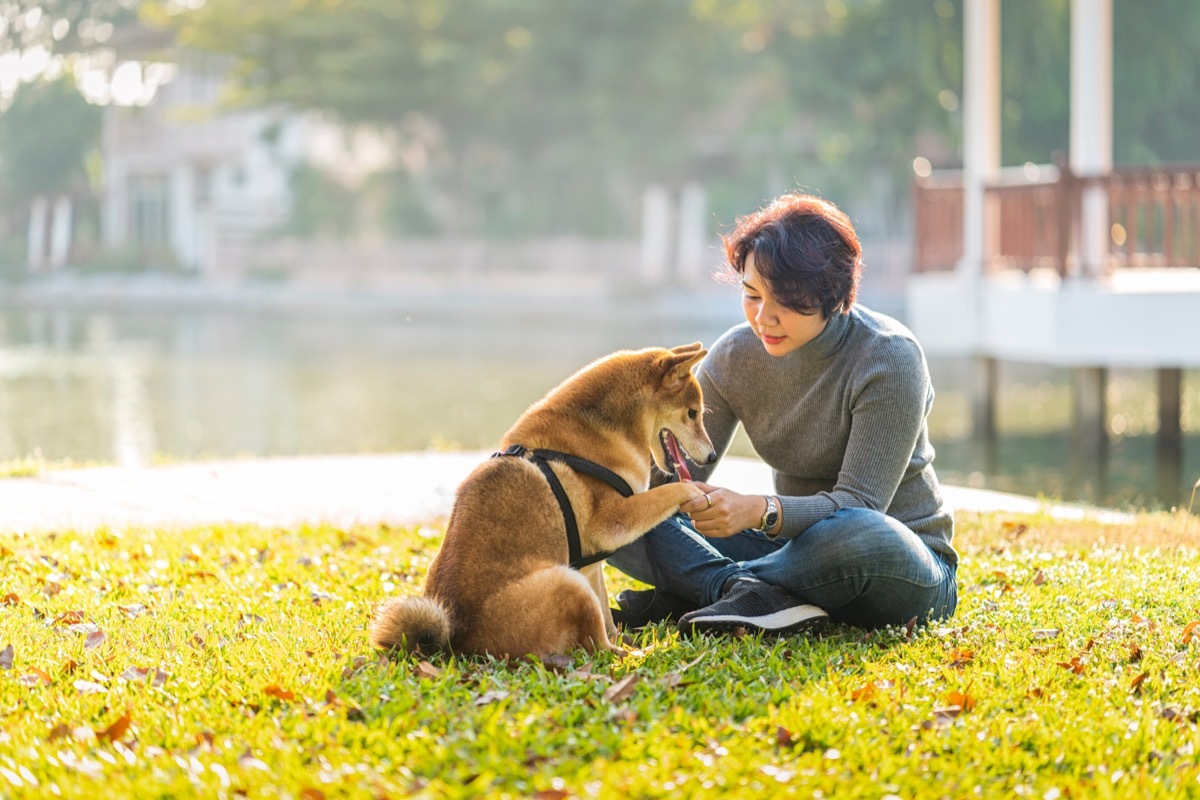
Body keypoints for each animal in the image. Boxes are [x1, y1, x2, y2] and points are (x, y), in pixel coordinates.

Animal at [369, 343, 715, 657]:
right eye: (692, 413)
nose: (712, 456)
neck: (598, 428)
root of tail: (457, 641)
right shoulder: (613, 522)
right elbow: (670, 491)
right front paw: (696, 492)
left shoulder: (592, 564)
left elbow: (607, 613)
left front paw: (622, 634)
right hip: (568, 581)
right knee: (598, 648)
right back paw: (646, 651)